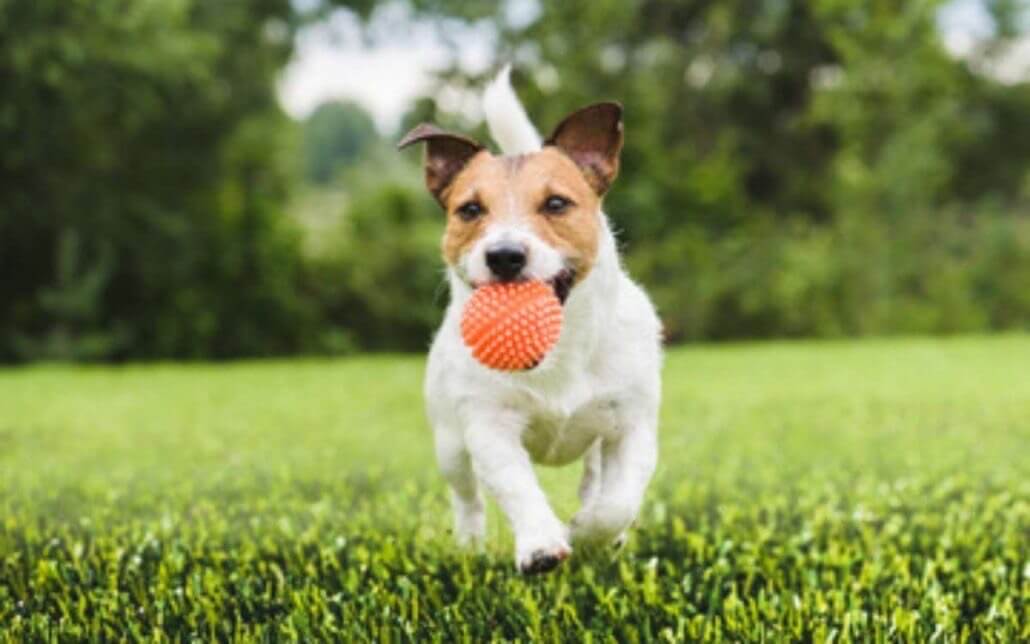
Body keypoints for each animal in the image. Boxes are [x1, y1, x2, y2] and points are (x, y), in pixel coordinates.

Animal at [395, 69, 659, 572]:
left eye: (556, 204)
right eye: (470, 210)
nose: (504, 255)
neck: (558, 350)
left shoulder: (632, 424)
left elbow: (618, 502)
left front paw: (589, 532)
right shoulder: (488, 427)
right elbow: (516, 486)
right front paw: (541, 544)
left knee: (595, 478)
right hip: (449, 443)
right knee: (467, 497)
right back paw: (470, 544)